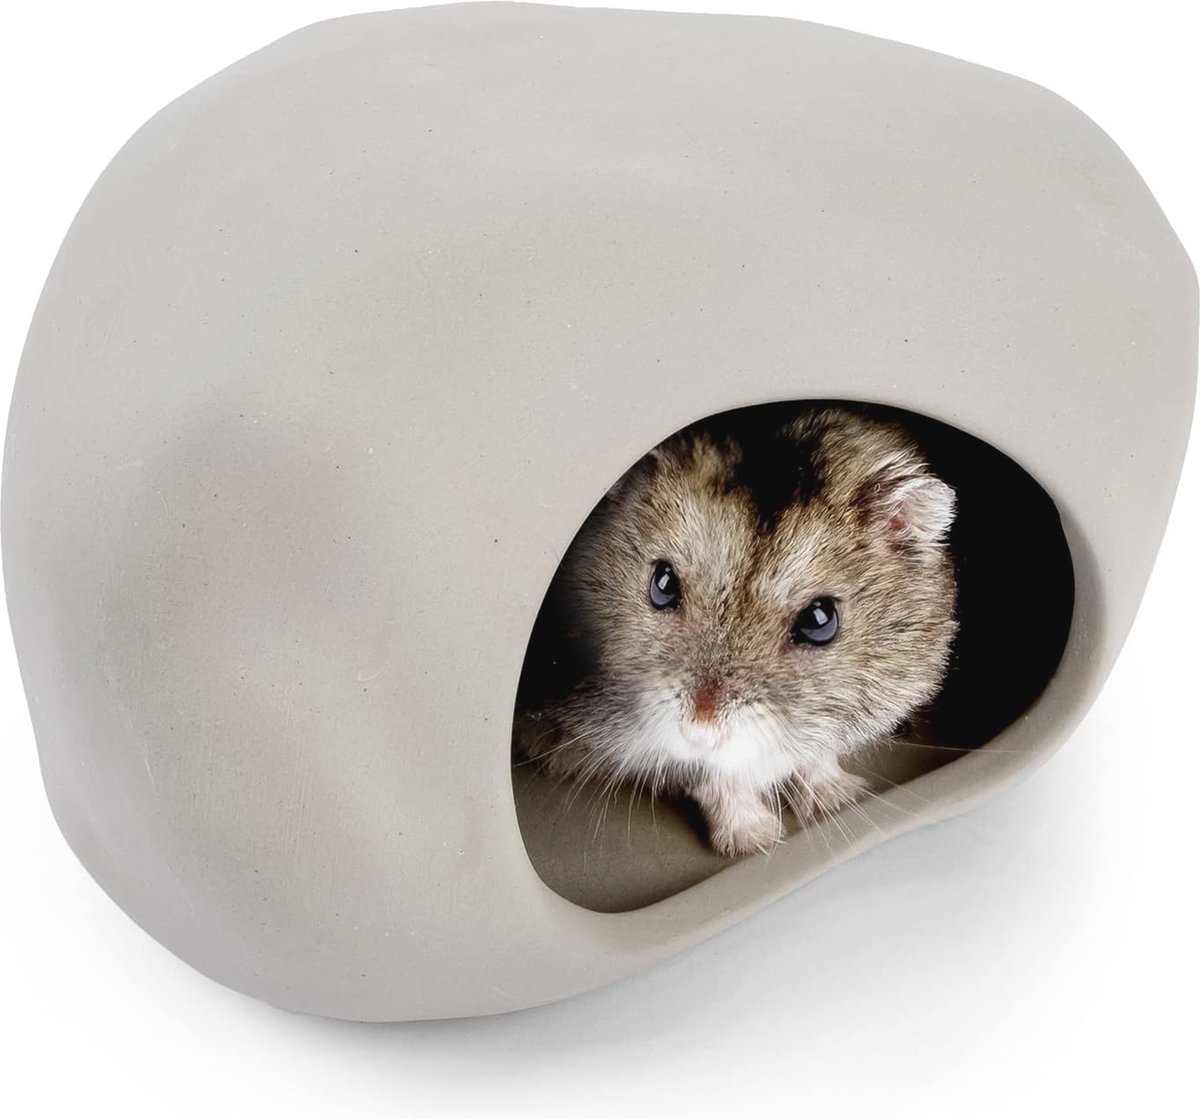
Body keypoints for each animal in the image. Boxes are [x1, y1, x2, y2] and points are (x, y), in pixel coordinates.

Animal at [513, 404, 958, 858]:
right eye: (662, 584)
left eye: (820, 621)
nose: (700, 730)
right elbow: (715, 780)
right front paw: (756, 840)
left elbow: (814, 758)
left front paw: (839, 801)